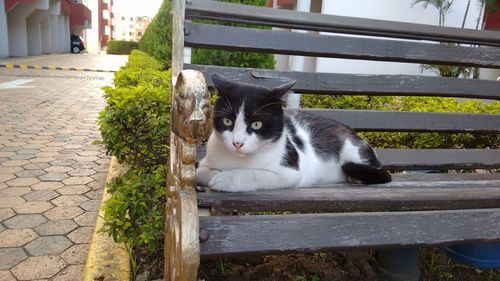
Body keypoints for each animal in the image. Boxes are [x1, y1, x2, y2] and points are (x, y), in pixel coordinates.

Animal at [195, 73, 390, 191]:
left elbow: (257, 174)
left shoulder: (290, 172)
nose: (237, 143)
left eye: (256, 124)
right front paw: (216, 175)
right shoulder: (205, 162)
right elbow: (201, 172)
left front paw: (226, 179)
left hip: (353, 149)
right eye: (227, 121)